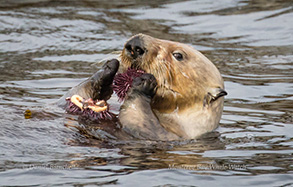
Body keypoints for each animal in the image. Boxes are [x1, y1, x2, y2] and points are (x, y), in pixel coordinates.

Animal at [58, 33, 226, 140]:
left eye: (178, 55)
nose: (135, 46)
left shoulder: (162, 135)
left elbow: (138, 119)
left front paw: (144, 81)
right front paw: (109, 69)